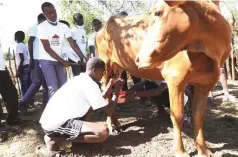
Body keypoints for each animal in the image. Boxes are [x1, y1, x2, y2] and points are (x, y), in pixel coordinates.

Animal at [94, 0, 231, 156]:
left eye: (158, 12)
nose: (138, 59)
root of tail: (103, 27)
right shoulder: (175, 79)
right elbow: (177, 116)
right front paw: (180, 150)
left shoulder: (206, 83)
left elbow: (198, 116)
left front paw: (203, 150)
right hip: (105, 66)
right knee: (106, 95)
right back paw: (111, 126)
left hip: (117, 69)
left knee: (113, 93)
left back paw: (117, 123)